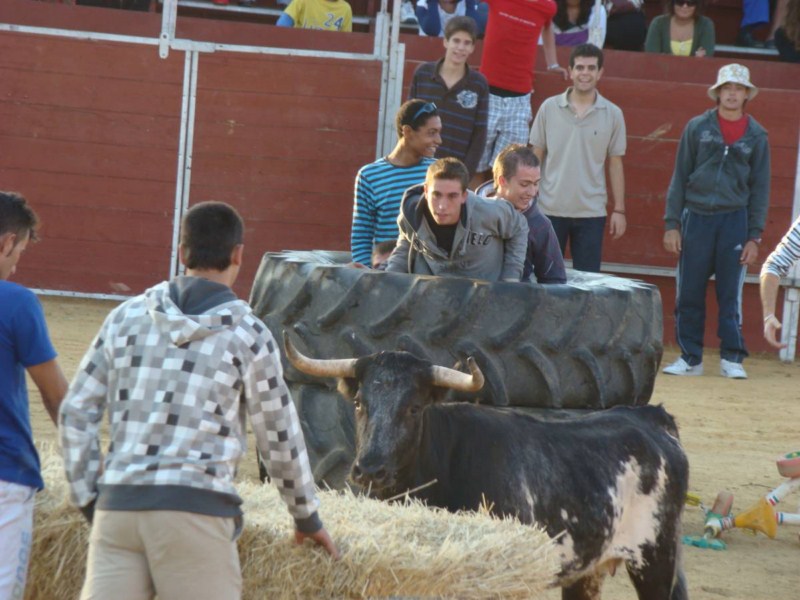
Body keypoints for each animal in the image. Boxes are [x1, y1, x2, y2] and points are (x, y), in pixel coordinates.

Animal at [286, 338, 688, 600]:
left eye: (414, 407)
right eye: (358, 403)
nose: (370, 470)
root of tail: (651, 418)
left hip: (655, 561)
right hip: (586, 571)